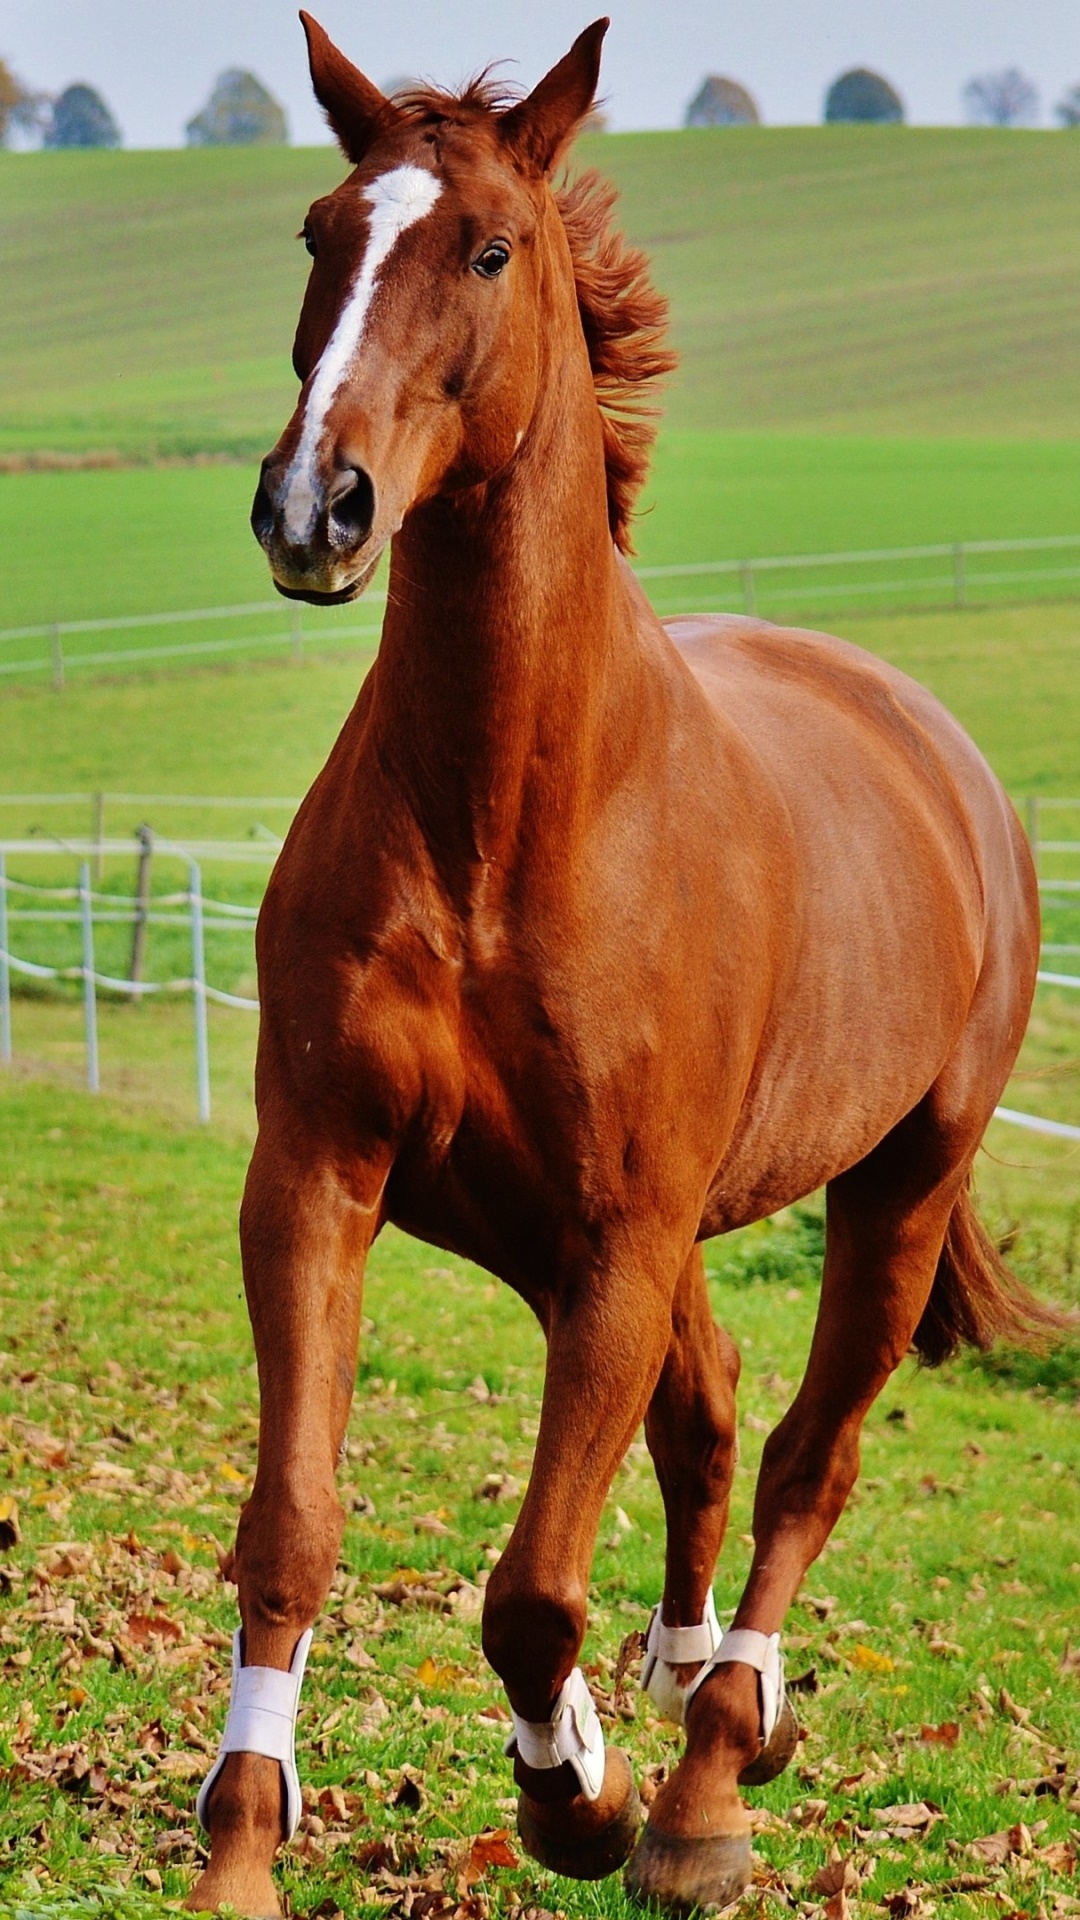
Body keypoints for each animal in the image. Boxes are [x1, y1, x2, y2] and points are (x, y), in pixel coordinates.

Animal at [187, 16, 1057, 1916]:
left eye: (490, 251)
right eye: (319, 231)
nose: (314, 507)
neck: (505, 822)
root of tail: (945, 757)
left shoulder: (620, 1237)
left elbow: (529, 1589)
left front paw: (575, 1796)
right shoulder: (324, 1179)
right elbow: (293, 1526)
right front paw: (241, 1848)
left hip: (887, 1192)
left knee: (807, 1456)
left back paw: (715, 1769)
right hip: (576, 1238)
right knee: (712, 1419)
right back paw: (682, 1693)